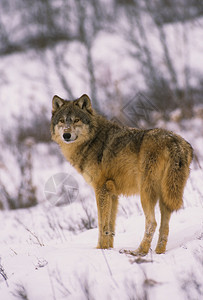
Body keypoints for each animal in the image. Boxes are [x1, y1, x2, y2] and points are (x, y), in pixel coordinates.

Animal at [51, 94, 193, 255]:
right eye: (62, 121)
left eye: (76, 120)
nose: (66, 135)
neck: (91, 141)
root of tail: (174, 141)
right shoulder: (113, 193)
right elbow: (110, 227)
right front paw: (109, 248)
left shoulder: (101, 189)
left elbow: (102, 224)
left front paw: (100, 249)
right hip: (166, 195)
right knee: (165, 226)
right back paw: (158, 252)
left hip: (146, 194)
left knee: (152, 223)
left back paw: (138, 252)